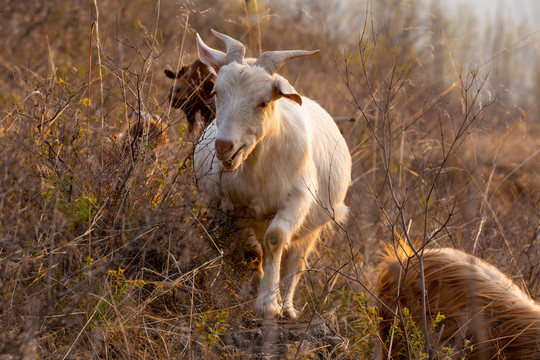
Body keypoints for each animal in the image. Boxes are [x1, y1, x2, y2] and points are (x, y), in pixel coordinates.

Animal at [194, 30, 354, 318]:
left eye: (263, 102)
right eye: (216, 91)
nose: (224, 146)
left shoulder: (298, 199)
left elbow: (276, 239)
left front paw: (268, 305)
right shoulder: (229, 207)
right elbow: (252, 252)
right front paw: (254, 295)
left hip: (313, 225)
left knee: (296, 261)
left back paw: (288, 307)